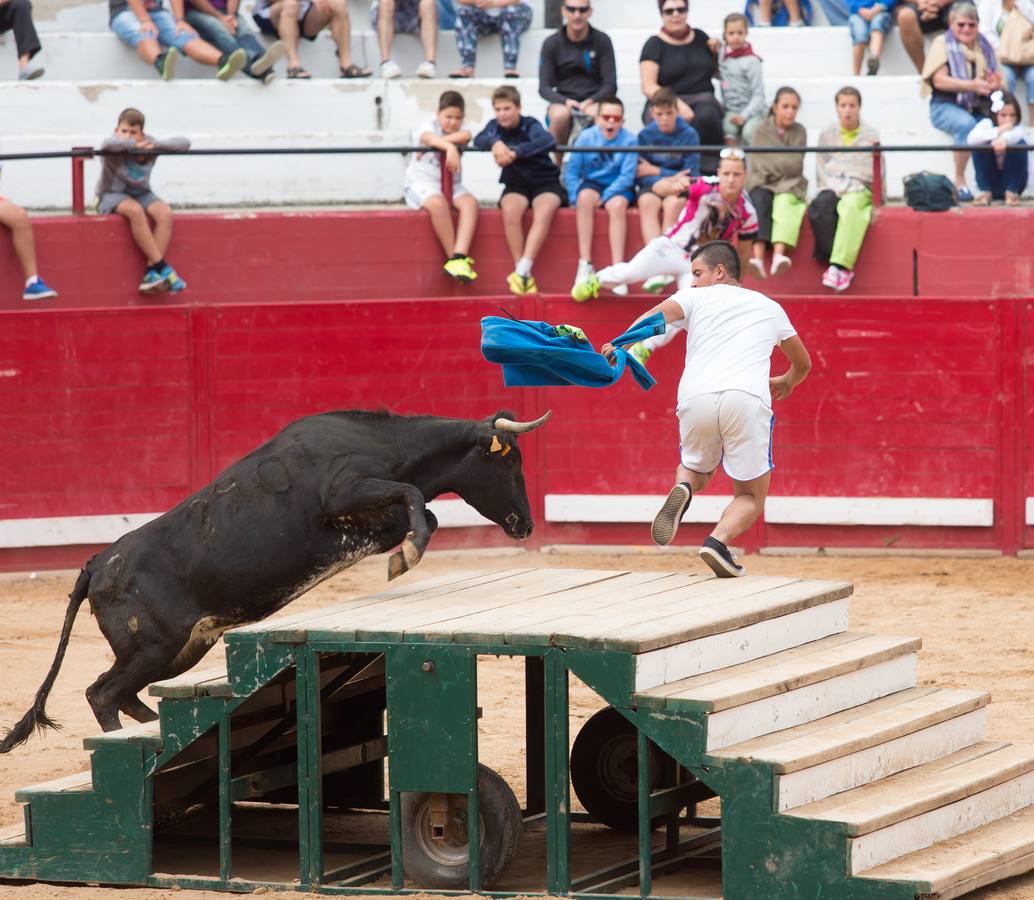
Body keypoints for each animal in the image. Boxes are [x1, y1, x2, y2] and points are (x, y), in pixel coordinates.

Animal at [0, 409, 550, 753]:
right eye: (509, 461)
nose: (527, 524)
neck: (381, 442)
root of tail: (98, 564)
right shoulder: (344, 491)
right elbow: (414, 497)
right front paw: (406, 557)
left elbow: (421, 511)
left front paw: (402, 553)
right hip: (152, 647)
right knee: (103, 694)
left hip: (183, 647)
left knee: (124, 696)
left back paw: (160, 735)